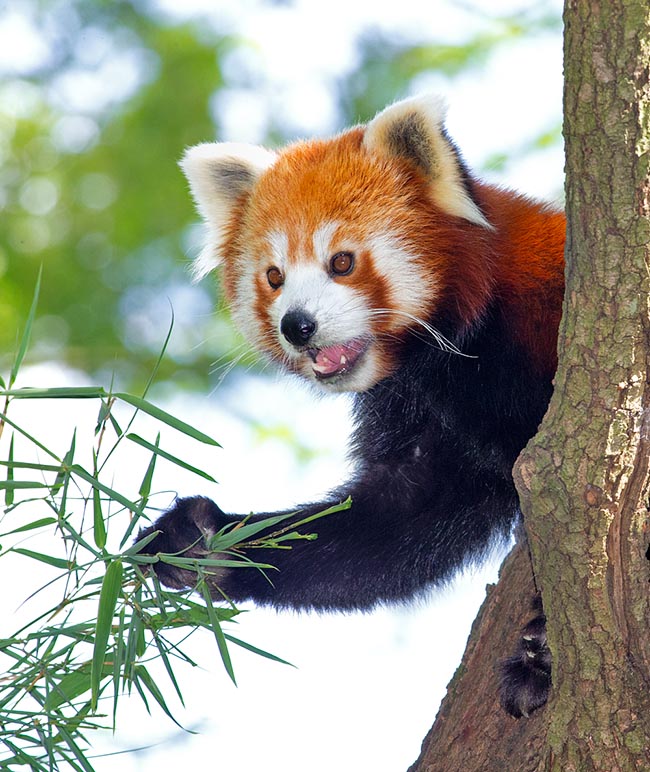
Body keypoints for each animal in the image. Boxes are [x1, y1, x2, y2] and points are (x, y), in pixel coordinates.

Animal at [139, 95, 564, 716]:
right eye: (274, 277)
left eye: (341, 262)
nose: (297, 326)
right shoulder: (423, 418)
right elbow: (394, 523)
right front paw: (205, 540)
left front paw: (542, 649)